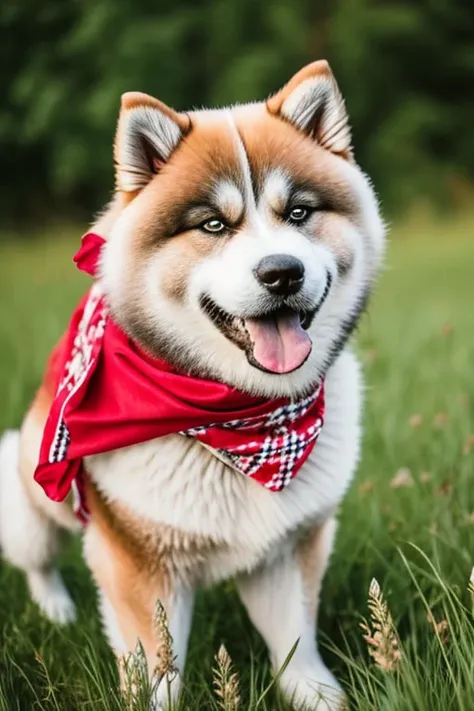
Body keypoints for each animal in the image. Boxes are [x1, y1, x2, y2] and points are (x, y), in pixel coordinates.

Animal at [0, 62, 386, 711]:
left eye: (299, 213)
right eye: (212, 224)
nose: (282, 272)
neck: (236, 423)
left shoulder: (287, 549)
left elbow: (297, 650)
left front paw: (321, 697)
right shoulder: (139, 562)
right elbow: (159, 672)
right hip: (33, 486)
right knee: (37, 556)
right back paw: (56, 610)